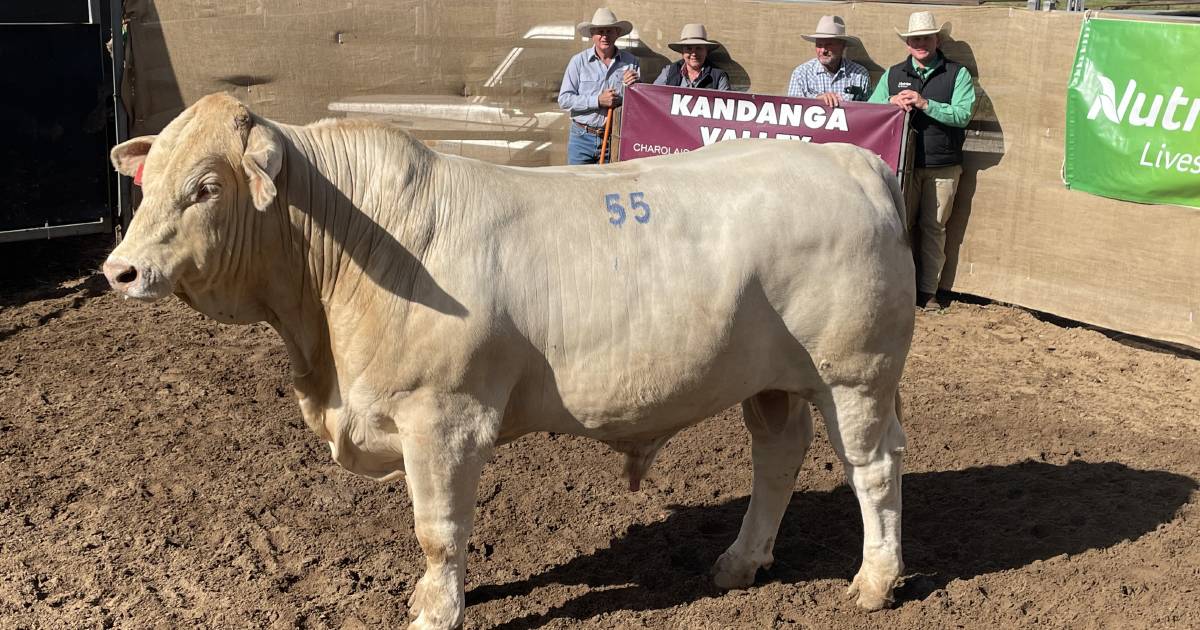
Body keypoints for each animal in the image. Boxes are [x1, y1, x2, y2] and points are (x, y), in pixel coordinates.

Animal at [105, 94, 907, 628]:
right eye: (146, 182)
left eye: (206, 187)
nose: (119, 270)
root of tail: (847, 157)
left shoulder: (444, 417)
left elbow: (437, 528)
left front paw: (435, 610)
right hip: (771, 379)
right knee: (778, 454)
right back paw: (741, 562)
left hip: (855, 373)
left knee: (872, 469)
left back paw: (874, 581)